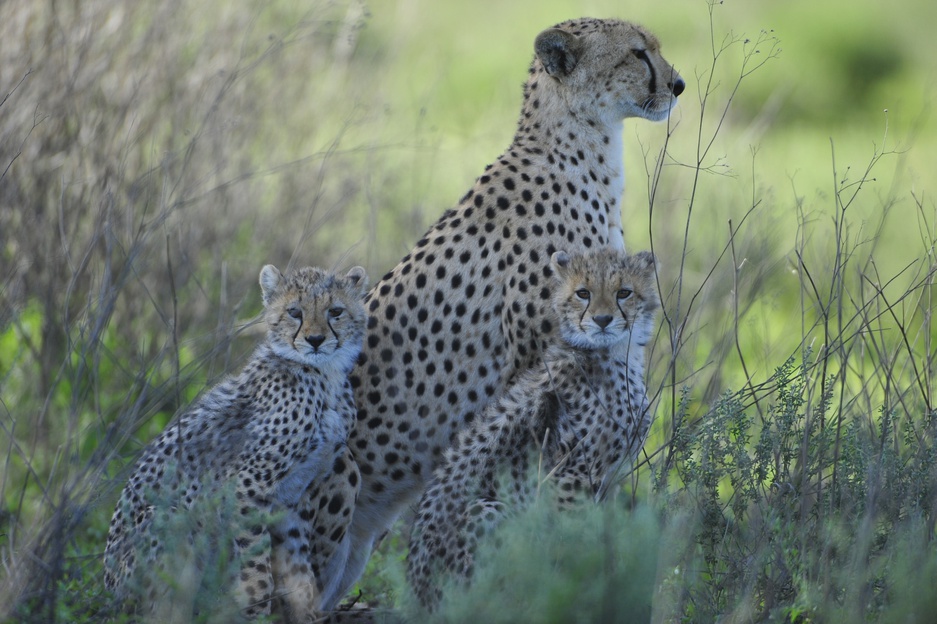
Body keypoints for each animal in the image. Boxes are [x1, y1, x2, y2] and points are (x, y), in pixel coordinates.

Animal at [102, 262, 366, 620]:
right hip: (167, 518)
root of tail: (108, 587)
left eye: (335, 312)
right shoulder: (244, 487)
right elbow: (257, 568)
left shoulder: (291, 498)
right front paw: (254, 611)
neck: (325, 375)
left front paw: (305, 614)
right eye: (294, 312)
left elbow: (297, 567)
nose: (314, 340)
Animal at [408, 246, 660, 608]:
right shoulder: (570, 475)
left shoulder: (607, 479)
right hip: (489, 510)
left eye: (623, 292)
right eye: (583, 293)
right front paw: (578, 589)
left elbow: (604, 535)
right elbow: (574, 538)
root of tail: (418, 596)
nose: (602, 320)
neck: (614, 354)